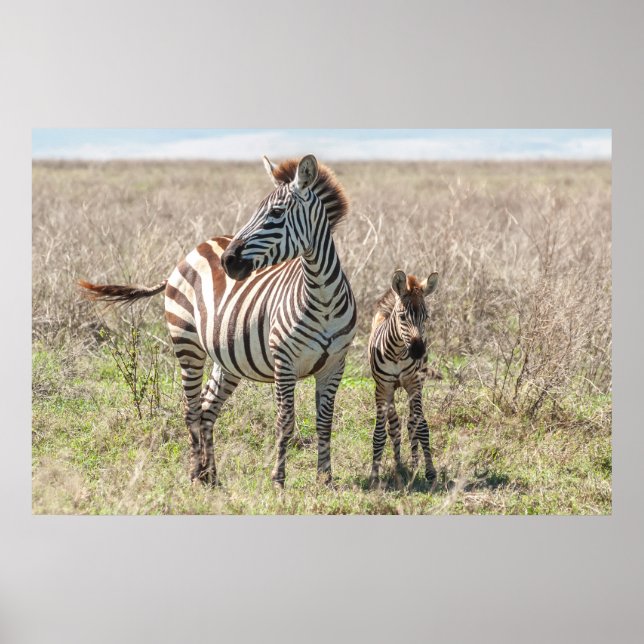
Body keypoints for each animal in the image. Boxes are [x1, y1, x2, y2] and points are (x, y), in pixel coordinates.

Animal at [80, 154, 357, 488]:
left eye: (276, 213)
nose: (228, 261)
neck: (322, 297)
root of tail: (194, 249)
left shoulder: (335, 365)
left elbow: (325, 423)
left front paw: (325, 480)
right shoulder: (284, 363)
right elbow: (285, 421)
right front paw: (278, 480)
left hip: (227, 359)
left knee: (207, 409)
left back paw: (210, 475)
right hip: (187, 344)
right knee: (191, 409)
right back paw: (193, 474)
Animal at [368, 269, 439, 488]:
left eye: (426, 317)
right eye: (402, 317)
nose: (417, 351)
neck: (398, 352)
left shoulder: (414, 383)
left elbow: (421, 426)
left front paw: (430, 472)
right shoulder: (382, 388)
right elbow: (380, 433)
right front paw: (374, 477)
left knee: (411, 423)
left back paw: (414, 465)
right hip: (389, 391)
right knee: (395, 426)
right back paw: (399, 465)